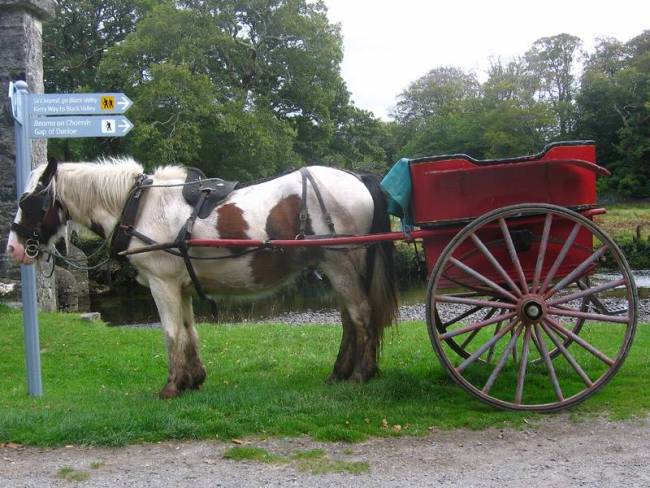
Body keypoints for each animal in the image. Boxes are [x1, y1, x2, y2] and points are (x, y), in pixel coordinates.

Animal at [7, 158, 398, 398]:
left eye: (29, 202)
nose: (13, 248)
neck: (139, 207)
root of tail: (357, 178)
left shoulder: (162, 284)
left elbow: (171, 333)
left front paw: (170, 387)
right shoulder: (179, 287)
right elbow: (189, 330)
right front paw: (193, 379)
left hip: (341, 264)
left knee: (362, 316)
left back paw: (361, 373)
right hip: (340, 269)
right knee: (349, 320)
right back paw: (341, 372)